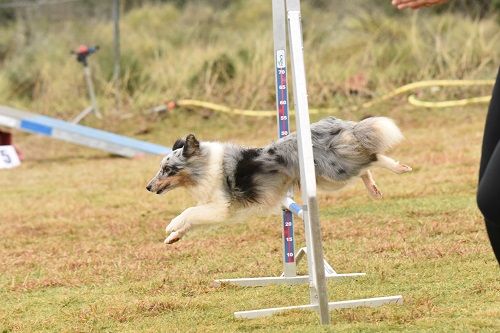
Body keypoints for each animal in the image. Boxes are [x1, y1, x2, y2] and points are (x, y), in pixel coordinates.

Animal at [145, 115, 410, 243]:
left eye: (168, 169)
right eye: (161, 168)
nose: (148, 187)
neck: (204, 166)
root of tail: (339, 123)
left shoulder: (222, 207)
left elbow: (189, 212)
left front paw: (171, 225)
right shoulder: (214, 209)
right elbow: (192, 220)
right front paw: (173, 237)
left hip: (335, 171)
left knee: (373, 157)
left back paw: (400, 167)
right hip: (328, 179)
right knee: (365, 166)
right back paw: (374, 190)